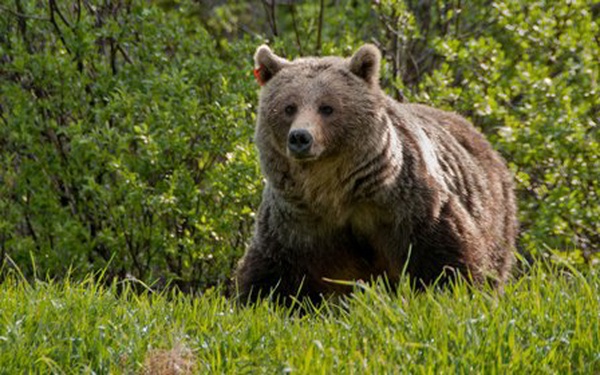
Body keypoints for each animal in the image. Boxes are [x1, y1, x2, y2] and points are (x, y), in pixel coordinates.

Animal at [232, 44, 516, 304]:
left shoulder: (408, 207)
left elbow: (446, 257)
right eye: (289, 107)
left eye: (327, 107)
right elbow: (272, 272)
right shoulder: (296, 223)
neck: (333, 190)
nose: (300, 137)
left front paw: (455, 291)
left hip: (495, 214)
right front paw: (259, 300)